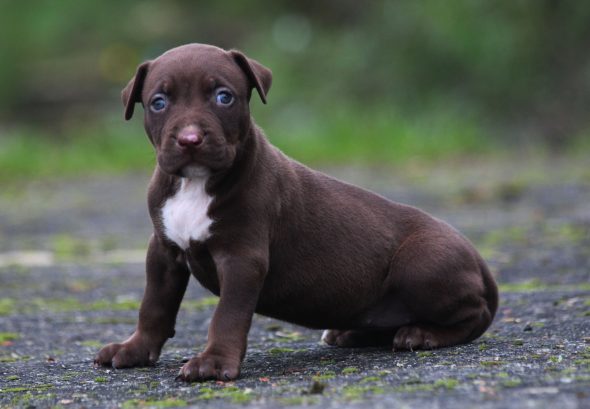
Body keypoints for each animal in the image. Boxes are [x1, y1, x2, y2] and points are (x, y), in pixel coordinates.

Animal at [93, 44, 500, 382]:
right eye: (159, 102)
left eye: (224, 97)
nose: (190, 139)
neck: (196, 184)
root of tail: (479, 260)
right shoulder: (162, 250)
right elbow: (153, 305)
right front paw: (134, 349)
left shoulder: (242, 258)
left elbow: (227, 314)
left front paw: (214, 362)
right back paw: (351, 331)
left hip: (422, 265)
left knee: (475, 314)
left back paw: (423, 333)